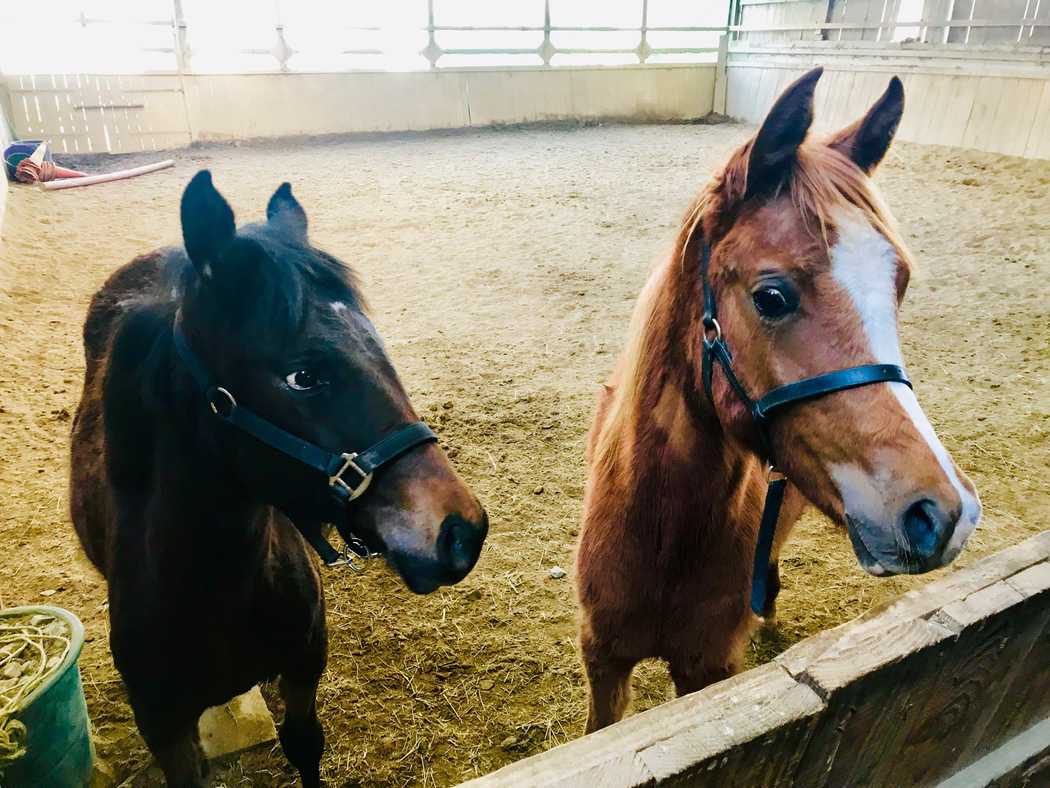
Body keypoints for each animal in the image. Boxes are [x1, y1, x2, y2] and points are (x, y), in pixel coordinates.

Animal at [69, 170, 489, 786]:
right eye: (303, 375)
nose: (462, 531)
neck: (211, 588)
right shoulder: (163, 726)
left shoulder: (304, 664)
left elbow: (304, 743)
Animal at [574, 68, 982, 733]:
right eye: (771, 296)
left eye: (898, 285)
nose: (943, 514)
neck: (661, 532)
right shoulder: (605, 660)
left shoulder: (707, 670)